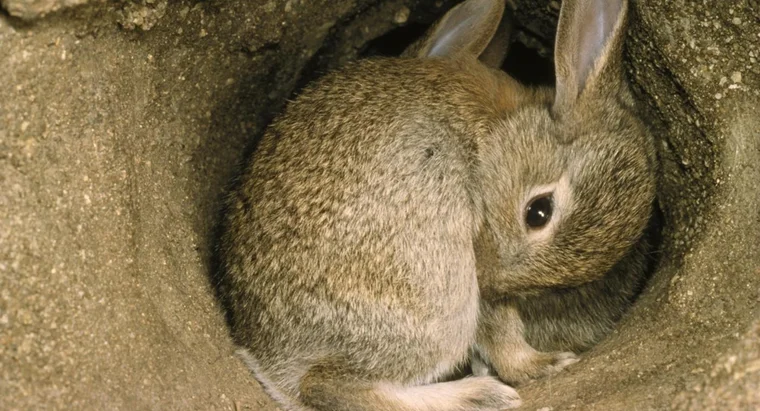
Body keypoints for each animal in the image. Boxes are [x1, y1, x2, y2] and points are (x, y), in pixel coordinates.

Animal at [217, 0, 656, 410]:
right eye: (538, 212)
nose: (491, 282)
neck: (500, 130)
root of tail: (273, 363)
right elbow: (498, 331)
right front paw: (541, 365)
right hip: (440, 300)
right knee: (327, 386)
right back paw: (480, 394)